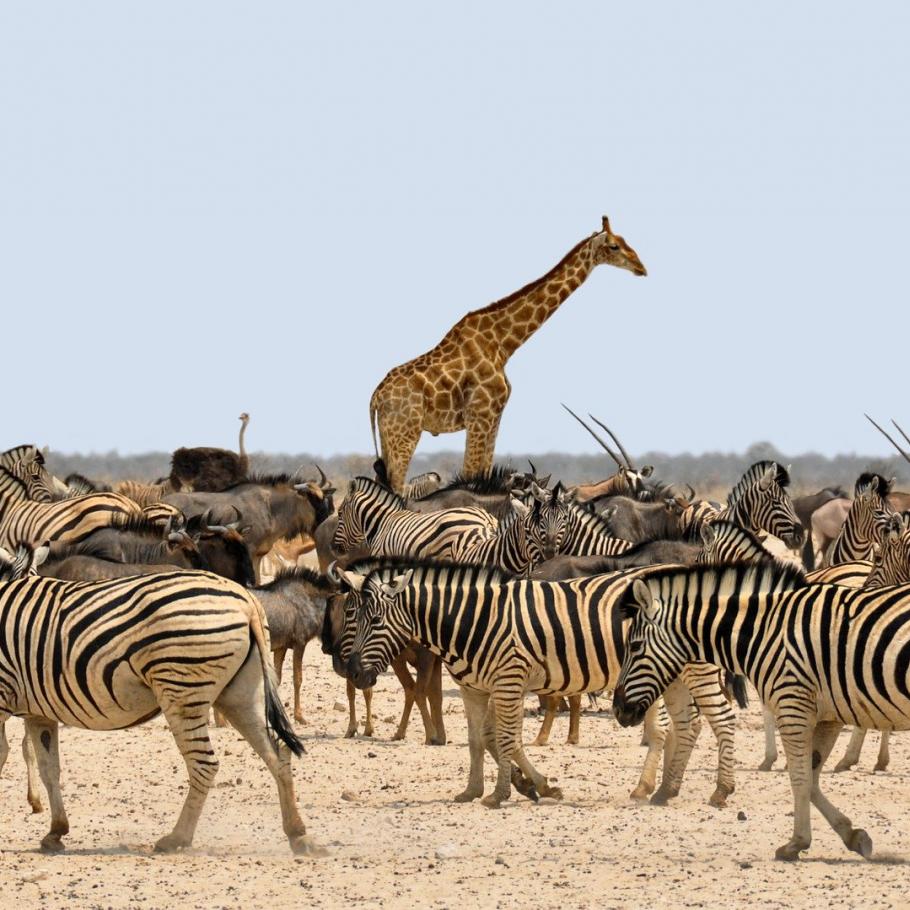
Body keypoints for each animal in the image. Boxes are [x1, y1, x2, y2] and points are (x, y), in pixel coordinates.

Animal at [0, 568, 320, 860]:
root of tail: (246, 600)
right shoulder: (39, 713)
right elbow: (49, 769)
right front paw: (56, 831)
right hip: (240, 695)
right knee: (277, 754)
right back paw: (298, 834)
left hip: (182, 689)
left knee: (204, 764)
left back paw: (176, 839)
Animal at [370, 216, 648, 492]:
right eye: (614, 246)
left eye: (625, 241)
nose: (641, 268)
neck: (504, 344)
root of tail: (375, 398)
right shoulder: (479, 415)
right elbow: (469, 474)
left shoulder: (495, 416)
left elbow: (483, 472)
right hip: (405, 434)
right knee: (397, 487)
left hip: (388, 437)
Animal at [608, 564, 910, 864]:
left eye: (634, 647)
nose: (618, 709)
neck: (766, 631)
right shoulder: (827, 715)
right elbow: (812, 778)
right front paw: (853, 835)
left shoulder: (792, 706)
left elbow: (800, 778)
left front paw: (796, 843)